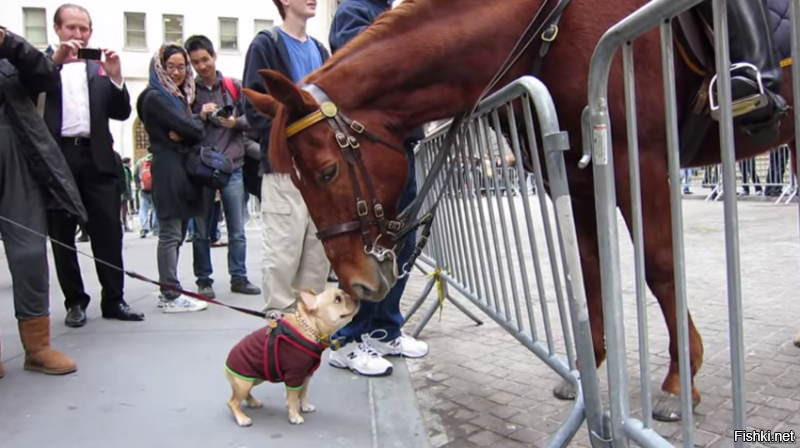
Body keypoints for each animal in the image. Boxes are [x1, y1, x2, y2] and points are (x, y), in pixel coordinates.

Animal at [222, 288, 360, 428]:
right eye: (337, 299)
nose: (354, 296)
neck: (310, 328)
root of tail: (226, 365)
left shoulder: (306, 375)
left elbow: (303, 393)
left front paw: (305, 406)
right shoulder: (294, 376)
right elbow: (293, 398)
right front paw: (294, 416)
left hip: (254, 379)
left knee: (246, 394)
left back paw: (253, 402)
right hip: (243, 384)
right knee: (233, 402)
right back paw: (242, 418)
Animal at [241, 0, 796, 422]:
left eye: (326, 172)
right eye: (294, 179)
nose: (355, 281)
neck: (553, 27)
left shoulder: (642, 160)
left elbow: (660, 267)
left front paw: (679, 382)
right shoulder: (573, 173)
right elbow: (587, 271)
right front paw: (587, 368)